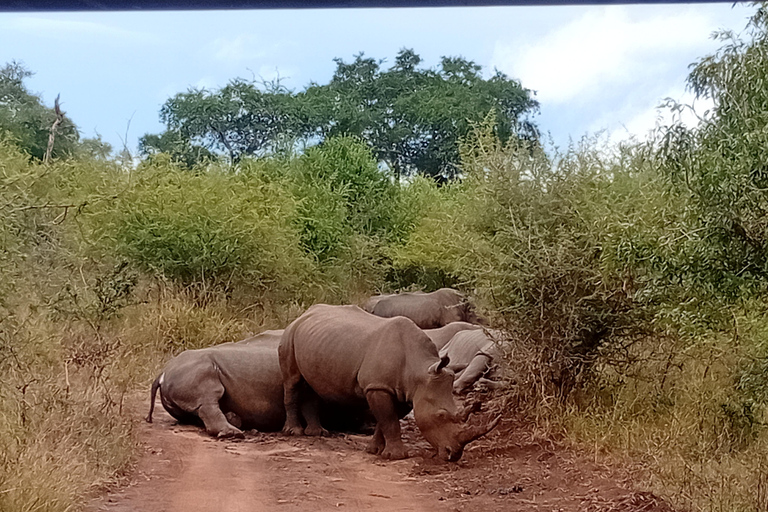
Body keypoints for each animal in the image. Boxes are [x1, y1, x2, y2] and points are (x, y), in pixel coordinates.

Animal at [279, 304, 499, 462]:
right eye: (441, 415)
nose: (453, 455)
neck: (419, 369)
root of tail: (305, 313)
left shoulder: (405, 391)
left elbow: (386, 419)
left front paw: (374, 450)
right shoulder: (377, 386)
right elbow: (389, 420)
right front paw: (396, 456)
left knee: (311, 385)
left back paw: (317, 433)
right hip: (290, 333)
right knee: (292, 381)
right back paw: (294, 432)